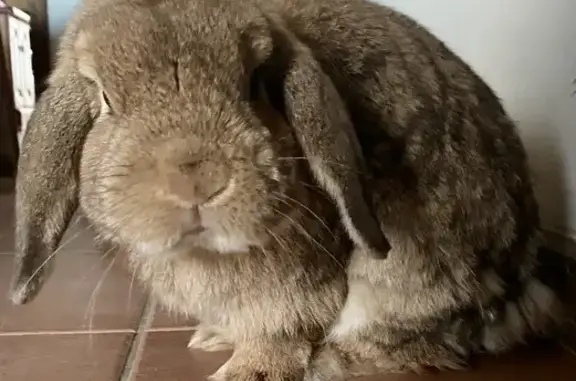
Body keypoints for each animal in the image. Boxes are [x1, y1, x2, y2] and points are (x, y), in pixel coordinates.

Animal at [10, 0, 576, 380]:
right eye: (105, 99)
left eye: (256, 84)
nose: (198, 178)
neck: (206, 255)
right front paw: (219, 339)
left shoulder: (297, 292)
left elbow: (281, 330)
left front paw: (248, 372)